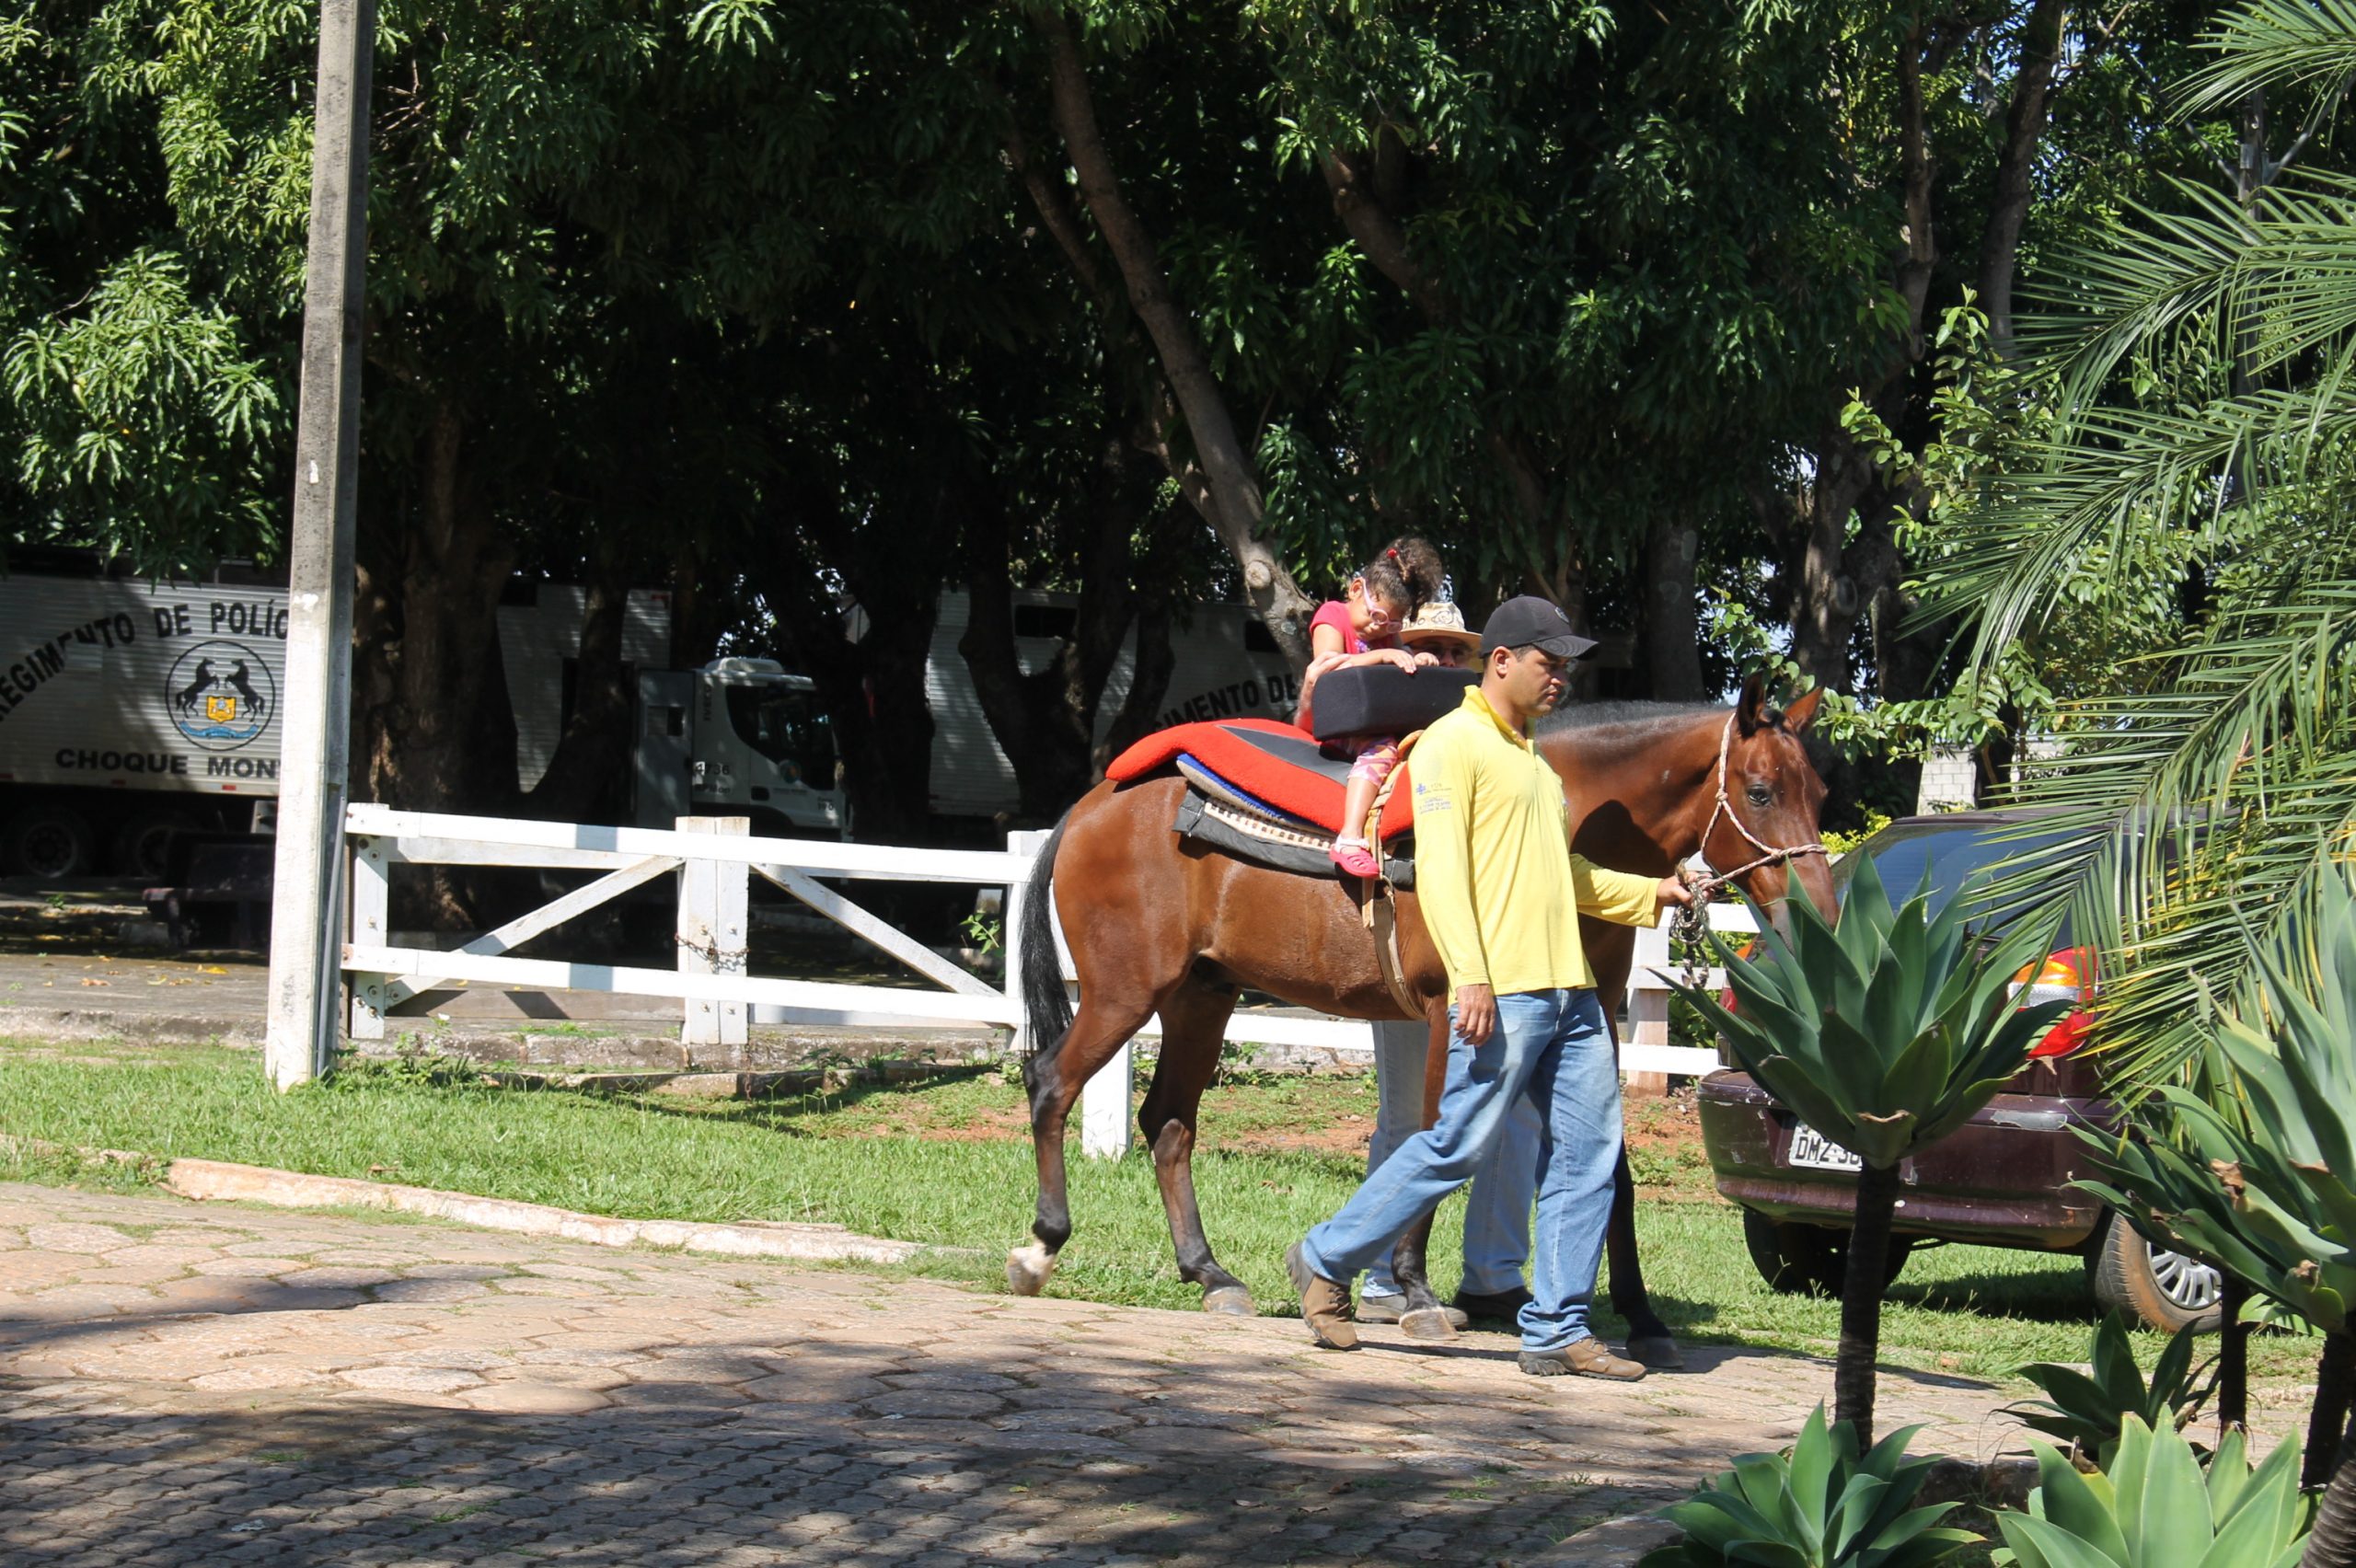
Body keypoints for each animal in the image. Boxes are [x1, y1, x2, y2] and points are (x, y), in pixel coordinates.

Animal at [1003, 673, 1828, 1355]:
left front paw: (1642, 1313)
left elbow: (1611, 1167)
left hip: (1202, 995)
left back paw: (1210, 1274)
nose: (1816, 911)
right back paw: (1043, 1244)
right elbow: (1435, 1138)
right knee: (1052, 1084)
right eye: (1760, 791)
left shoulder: (1592, 1015)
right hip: (1124, 992)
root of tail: (1092, 802)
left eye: (1817, 791)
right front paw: (1416, 1290)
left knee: (1169, 1124)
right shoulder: (1450, 1013)